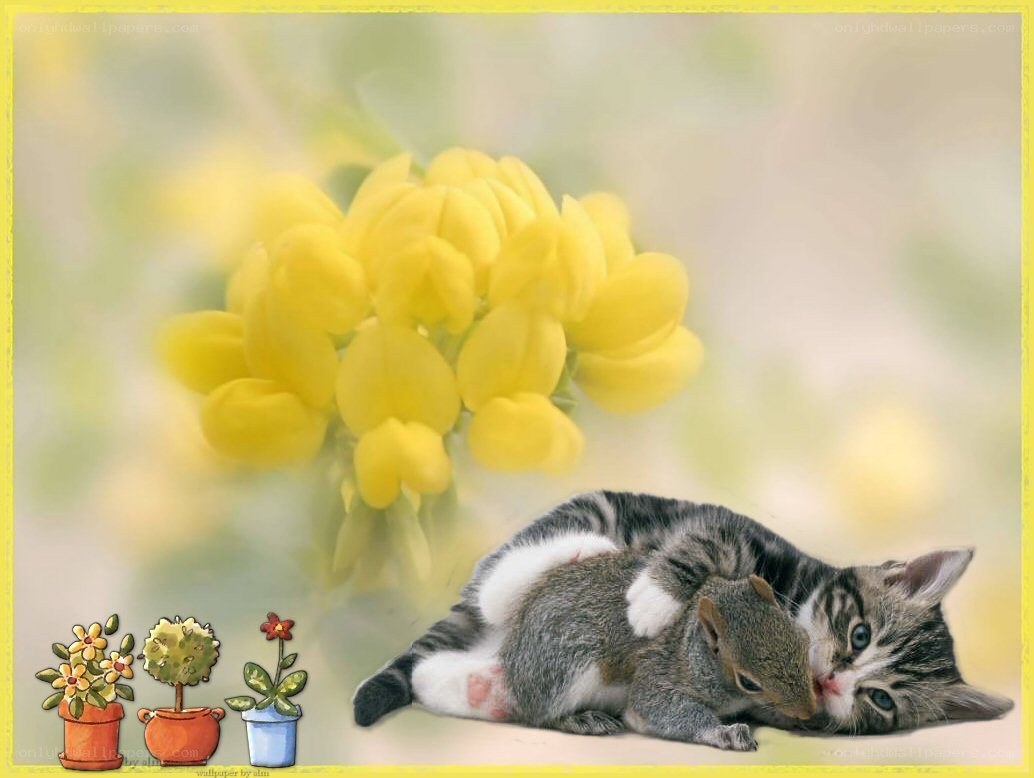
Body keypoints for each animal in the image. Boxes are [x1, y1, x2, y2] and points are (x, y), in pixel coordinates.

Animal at [499, 550, 816, 750]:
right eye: (748, 681)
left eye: (803, 639)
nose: (808, 711)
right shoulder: (656, 673)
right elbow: (660, 708)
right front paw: (724, 732)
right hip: (567, 664)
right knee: (542, 714)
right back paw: (582, 719)